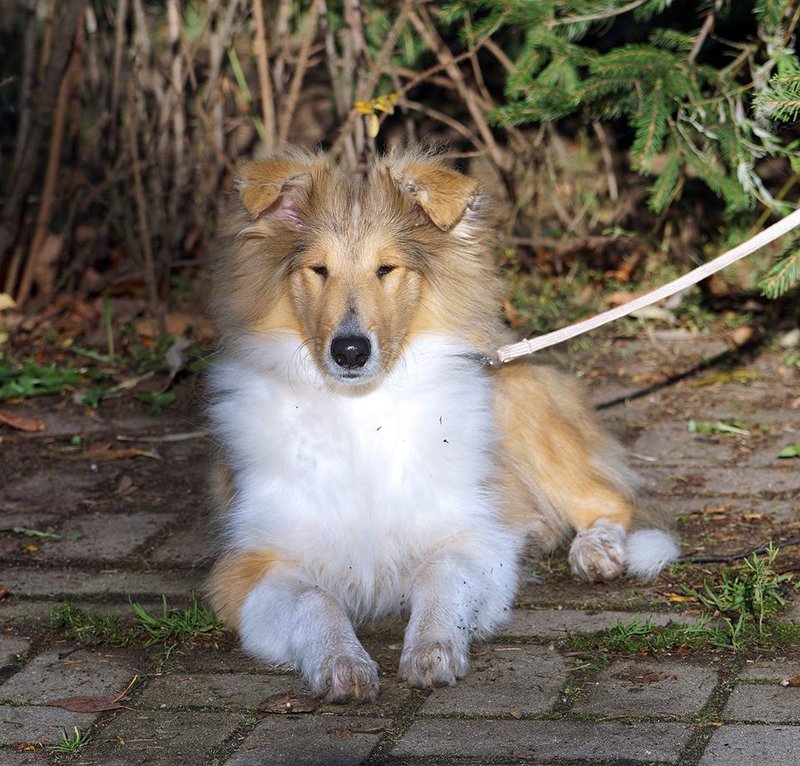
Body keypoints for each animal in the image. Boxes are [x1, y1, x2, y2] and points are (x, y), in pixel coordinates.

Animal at [205, 147, 676, 704]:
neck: (361, 412)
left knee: (610, 500)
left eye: (387, 268)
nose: (350, 351)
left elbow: (441, 576)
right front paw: (343, 664)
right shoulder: (252, 565)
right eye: (317, 269)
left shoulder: (471, 538)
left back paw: (595, 550)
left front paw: (432, 651)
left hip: (523, 419)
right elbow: (315, 601)